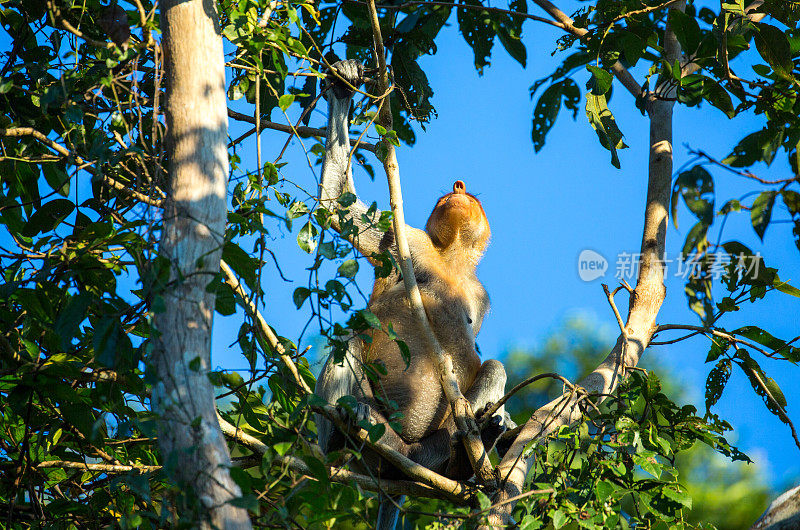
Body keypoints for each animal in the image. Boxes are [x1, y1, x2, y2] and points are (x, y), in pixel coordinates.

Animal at [312, 59, 512, 524]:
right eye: (446, 197)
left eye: (471, 198)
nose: (457, 188)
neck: (450, 258)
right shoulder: (405, 239)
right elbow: (335, 208)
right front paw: (344, 86)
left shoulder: (480, 294)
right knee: (348, 342)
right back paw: (343, 435)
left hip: (435, 438)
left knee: (491, 370)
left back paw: (469, 449)